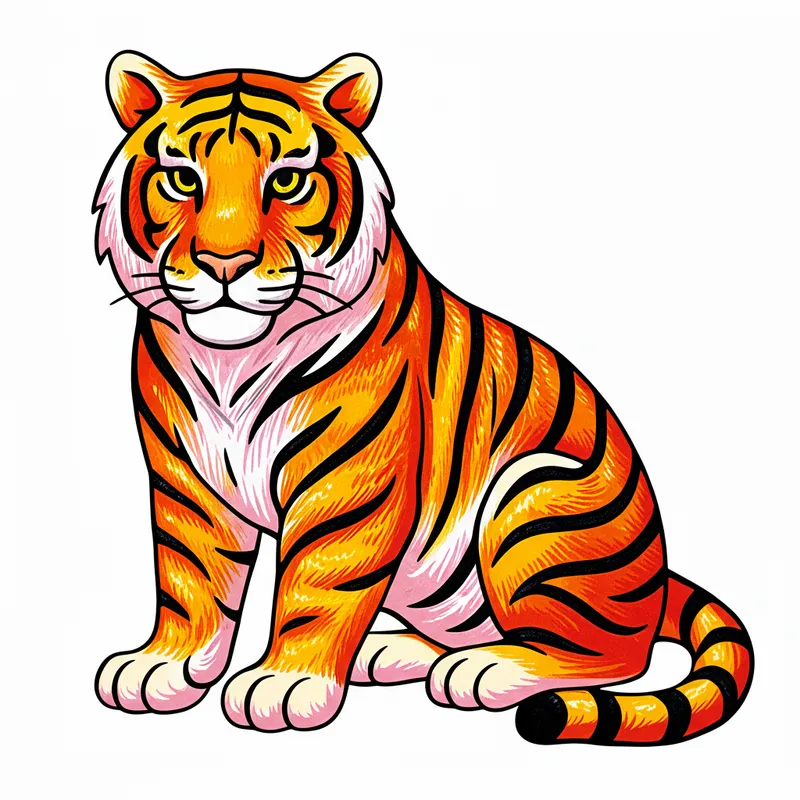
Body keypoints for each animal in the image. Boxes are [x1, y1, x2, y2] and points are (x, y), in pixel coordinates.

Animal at [93, 51, 753, 745]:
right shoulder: (184, 481)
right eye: (181, 179)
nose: (225, 264)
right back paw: (393, 651)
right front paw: (161, 666)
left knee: (614, 654)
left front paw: (285, 683)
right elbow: (188, 577)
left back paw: (484, 671)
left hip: (537, 496)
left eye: (287, 182)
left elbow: (316, 588)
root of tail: (658, 576)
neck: (230, 359)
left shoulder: (348, 483)